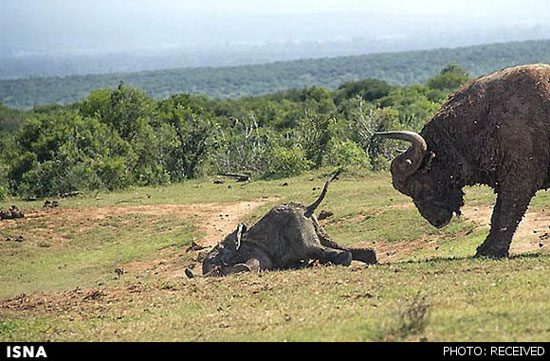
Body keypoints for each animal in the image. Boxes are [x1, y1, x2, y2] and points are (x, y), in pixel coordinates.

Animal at [192, 171, 378, 276]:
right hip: (313, 227)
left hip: (298, 229)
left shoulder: (252, 250)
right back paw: (371, 258)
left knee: (317, 249)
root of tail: (307, 209)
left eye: (215, 256)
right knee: (335, 245)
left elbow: (254, 265)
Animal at [378, 63, 550, 258]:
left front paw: (493, 250)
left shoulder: (518, 181)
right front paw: (484, 249)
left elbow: (507, 214)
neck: (485, 117)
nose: (437, 221)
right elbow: (498, 215)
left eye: (417, 185)